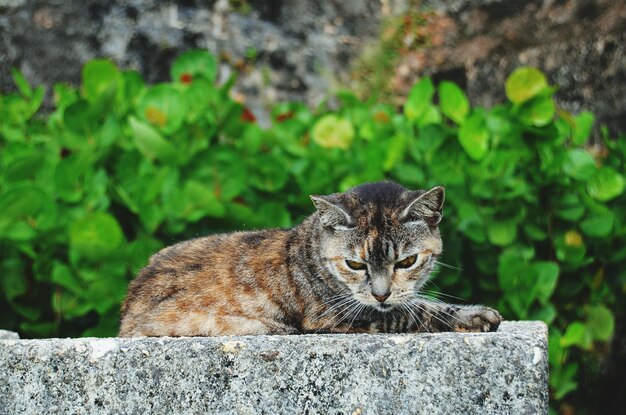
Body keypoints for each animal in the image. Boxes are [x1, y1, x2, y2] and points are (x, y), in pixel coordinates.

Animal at [118, 182, 502, 338]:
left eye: (406, 262)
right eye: (355, 265)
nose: (381, 293)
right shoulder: (336, 313)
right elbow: (415, 311)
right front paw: (473, 315)